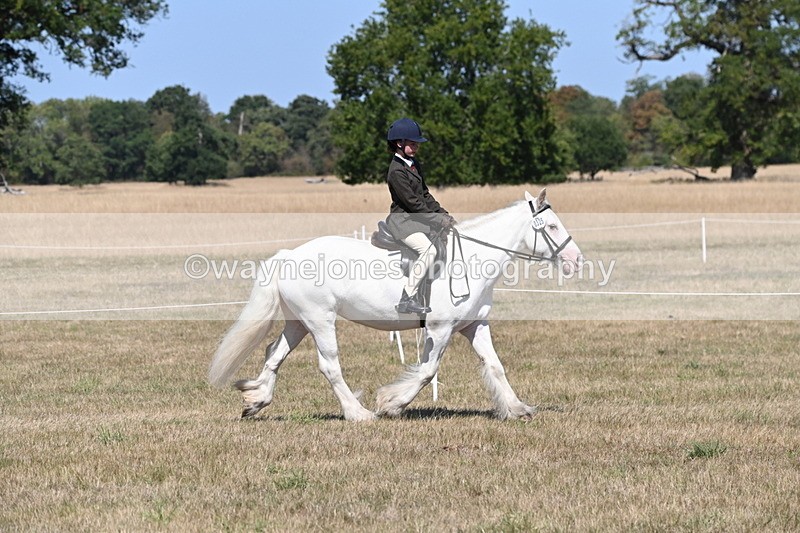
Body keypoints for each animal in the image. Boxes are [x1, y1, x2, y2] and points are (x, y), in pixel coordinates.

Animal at [208, 189, 583, 421]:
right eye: (551, 226)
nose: (576, 260)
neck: (473, 259)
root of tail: (289, 255)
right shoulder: (440, 329)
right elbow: (428, 371)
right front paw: (391, 403)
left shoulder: (474, 326)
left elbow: (496, 366)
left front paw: (517, 408)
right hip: (319, 320)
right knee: (329, 366)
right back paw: (358, 414)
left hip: (298, 322)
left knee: (274, 353)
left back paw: (256, 401)